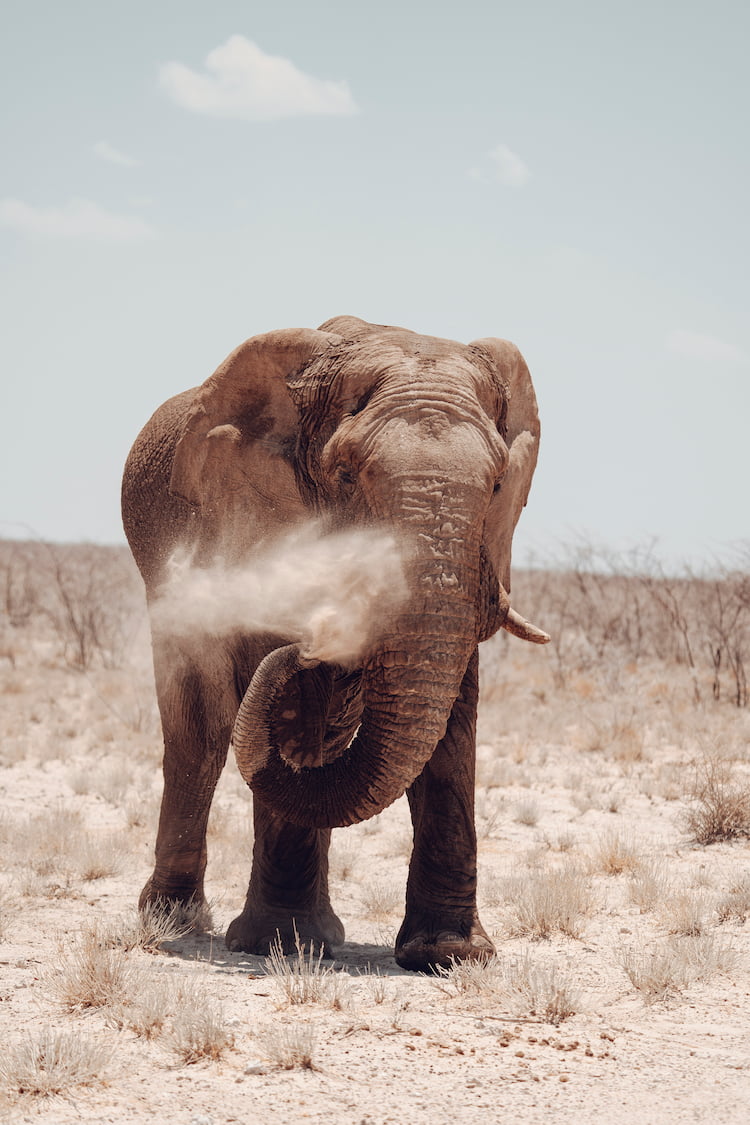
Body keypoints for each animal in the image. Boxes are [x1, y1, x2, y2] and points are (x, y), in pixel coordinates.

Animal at [121, 314, 548, 972]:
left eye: (500, 482)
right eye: (346, 476)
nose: (309, 647)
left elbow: (454, 712)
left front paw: (448, 955)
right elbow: (288, 705)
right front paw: (280, 944)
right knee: (203, 733)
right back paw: (176, 918)